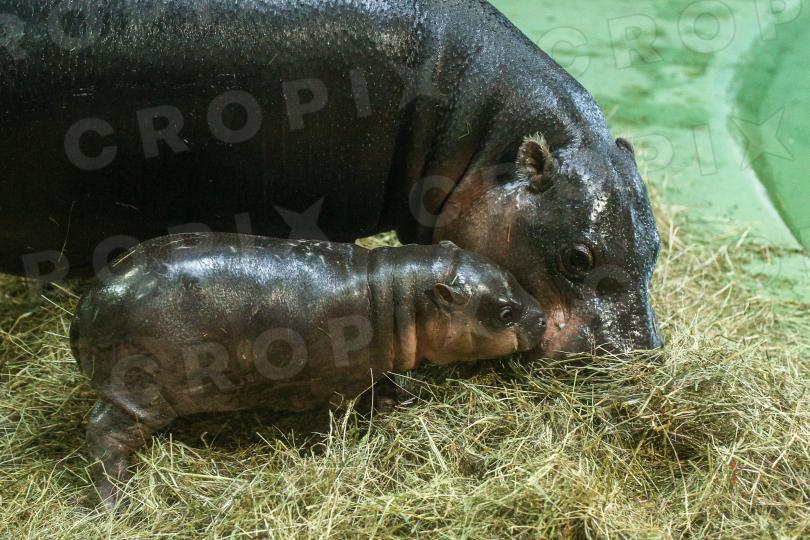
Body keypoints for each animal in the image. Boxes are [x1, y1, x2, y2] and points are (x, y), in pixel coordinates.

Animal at [70, 233, 546, 504]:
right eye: (505, 312)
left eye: (512, 276)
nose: (543, 319)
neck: (400, 295)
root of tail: (84, 311)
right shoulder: (335, 384)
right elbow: (337, 417)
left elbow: (388, 381)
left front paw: (398, 399)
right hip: (139, 394)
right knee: (105, 435)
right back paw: (118, 500)